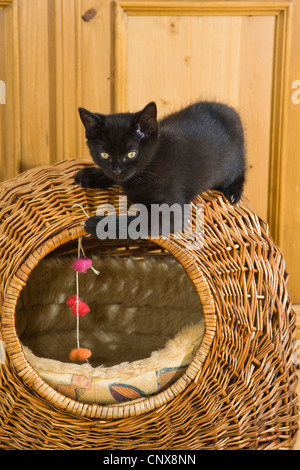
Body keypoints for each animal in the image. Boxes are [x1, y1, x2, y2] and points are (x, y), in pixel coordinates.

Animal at [75, 100, 246, 237]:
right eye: (104, 155)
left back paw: (233, 192)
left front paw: (99, 224)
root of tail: (227, 109)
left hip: (234, 160)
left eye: (131, 154)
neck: (149, 168)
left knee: (240, 170)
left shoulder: (170, 213)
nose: (117, 171)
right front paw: (89, 175)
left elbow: (136, 224)